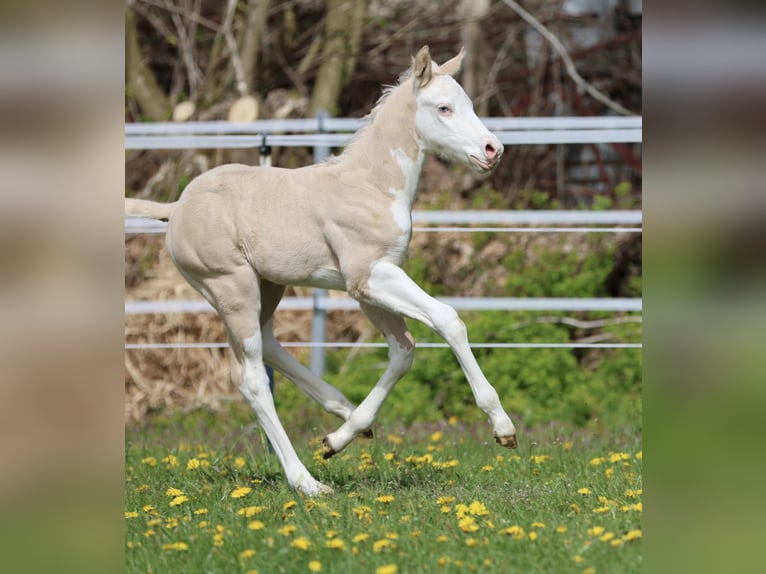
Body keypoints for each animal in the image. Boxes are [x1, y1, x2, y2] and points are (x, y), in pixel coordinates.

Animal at [126, 46, 517, 496]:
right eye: (444, 108)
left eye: (467, 104)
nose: (493, 149)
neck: (370, 186)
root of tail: (175, 207)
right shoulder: (368, 276)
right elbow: (447, 320)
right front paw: (503, 427)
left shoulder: (369, 287)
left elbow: (402, 351)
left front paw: (339, 439)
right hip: (231, 287)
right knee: (252, 380)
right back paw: (307, 483)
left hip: (267, 286)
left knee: (266, 344)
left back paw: (341, 411)